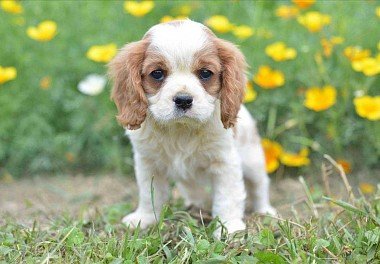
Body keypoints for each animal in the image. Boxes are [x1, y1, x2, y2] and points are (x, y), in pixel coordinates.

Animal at [108, 20, 274, 235]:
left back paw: (265, 211)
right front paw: (145, 218)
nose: (183, 100)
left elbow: (228, 196)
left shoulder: (225, 162)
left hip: (253, 160)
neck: (181, 129)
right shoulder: (147, 163)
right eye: (157, 74)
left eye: (205, 73)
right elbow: (149, 193)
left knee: (259, 185)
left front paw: (228, 226)